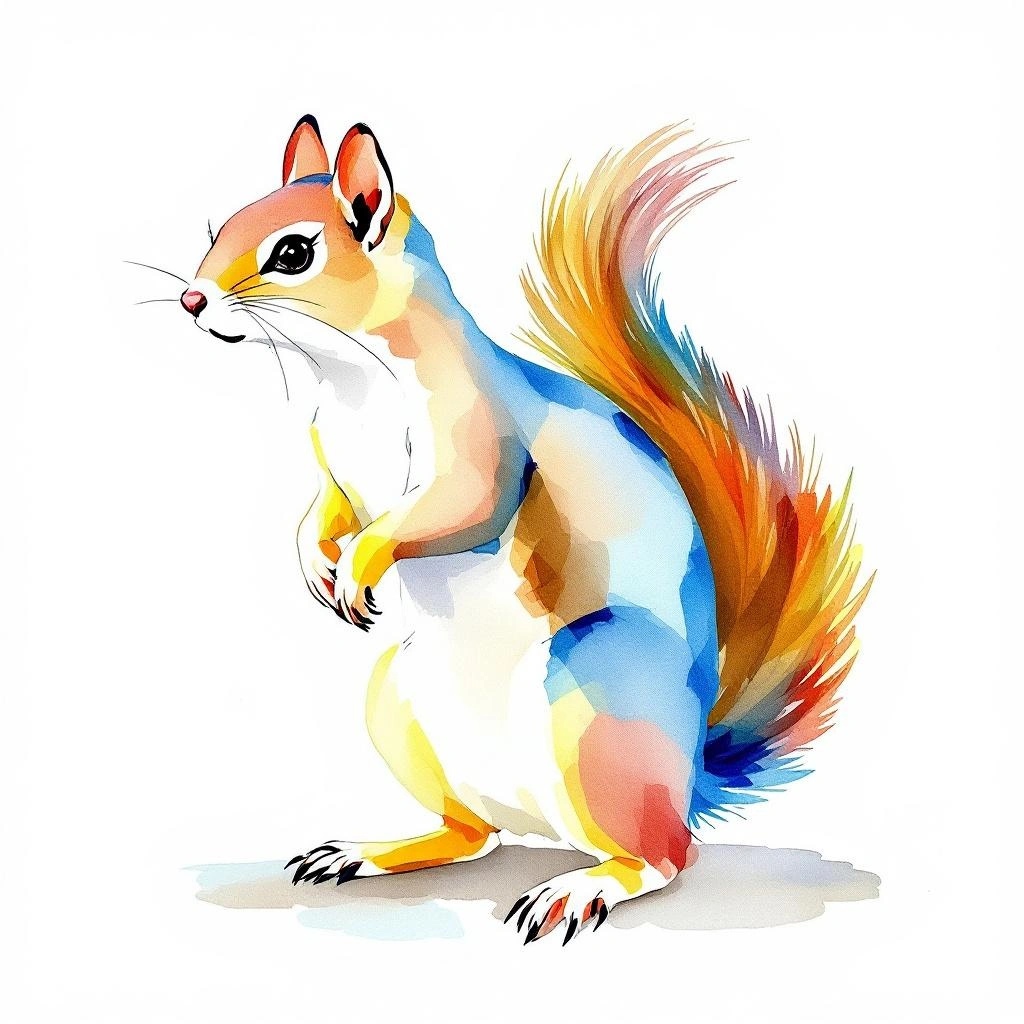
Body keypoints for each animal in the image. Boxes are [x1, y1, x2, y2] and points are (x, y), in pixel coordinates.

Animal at [176, 115, 871, 944]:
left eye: (292, 253)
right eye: (219, 228)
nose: (190, 298)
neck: (352, 377)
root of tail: (691, 773)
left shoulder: (478, 438)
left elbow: (457, 507)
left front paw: (359, 564)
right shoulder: (334, 463)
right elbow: (327, 508)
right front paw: (315, 561)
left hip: (595, 698)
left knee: (667, 857)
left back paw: (585, 886)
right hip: (399, 700)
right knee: (473, 835)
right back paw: (374, 851)